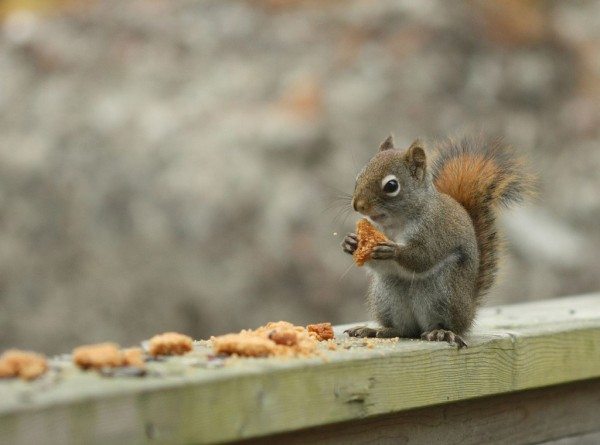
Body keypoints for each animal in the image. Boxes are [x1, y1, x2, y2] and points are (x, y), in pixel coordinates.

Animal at [341, 134, 534, 347]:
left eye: (391, 186)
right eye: (359, 176)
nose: (358, 205)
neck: (395, 223)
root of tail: (469, 311)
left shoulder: (436, 230)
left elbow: (424, 257)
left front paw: (393, 250)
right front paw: (351, 243)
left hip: (442, 293)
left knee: (445, 324)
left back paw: (440, 332)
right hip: (387, 294)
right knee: (404, 329)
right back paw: (378, 330)